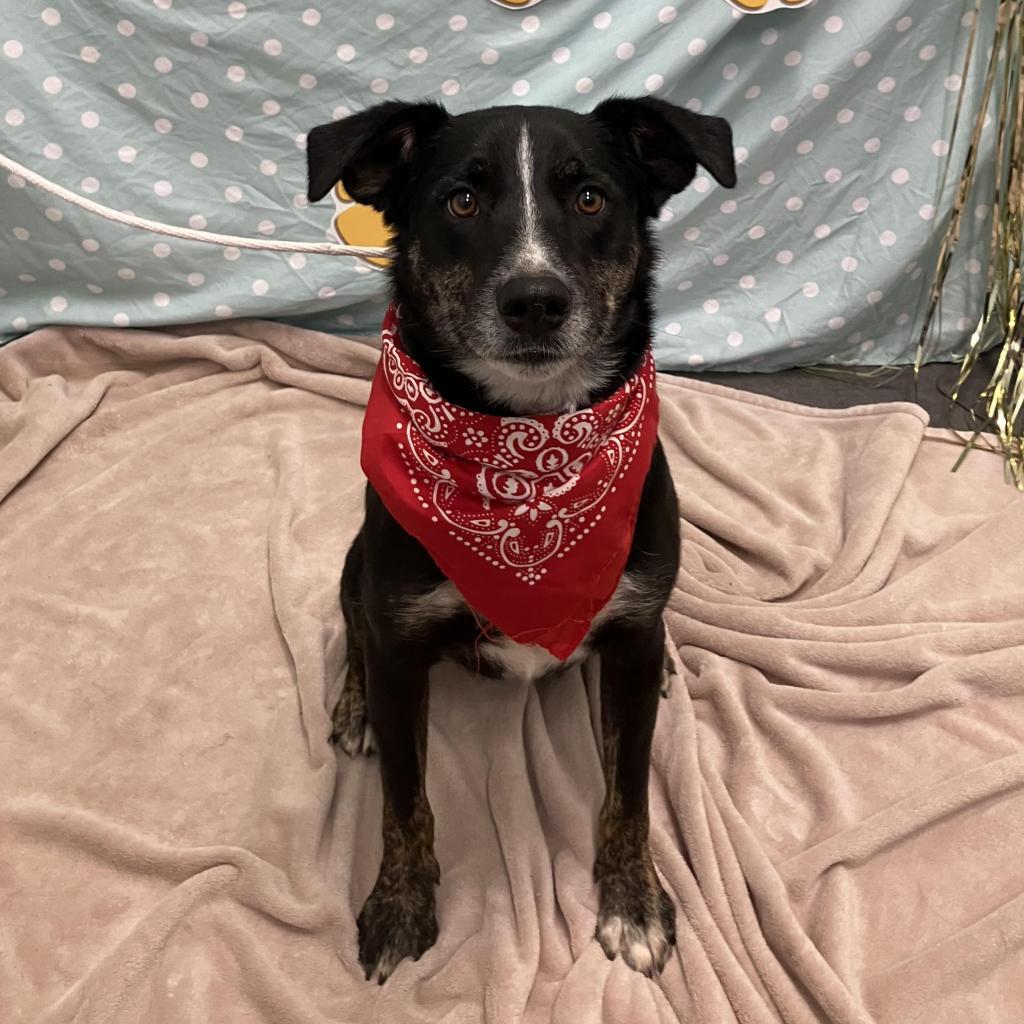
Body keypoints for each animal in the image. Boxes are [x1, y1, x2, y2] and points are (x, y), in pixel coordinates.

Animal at [303, 97, 737, 983]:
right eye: (462, 201)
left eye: (592, 198)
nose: (534, 300)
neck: (528, 468)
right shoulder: (401, 635)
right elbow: (405, 799)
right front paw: (399, 907)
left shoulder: (631, 629)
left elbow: (629, 794)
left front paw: (633, 902)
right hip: (359, 564)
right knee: (354, 629)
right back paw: (353, 705)